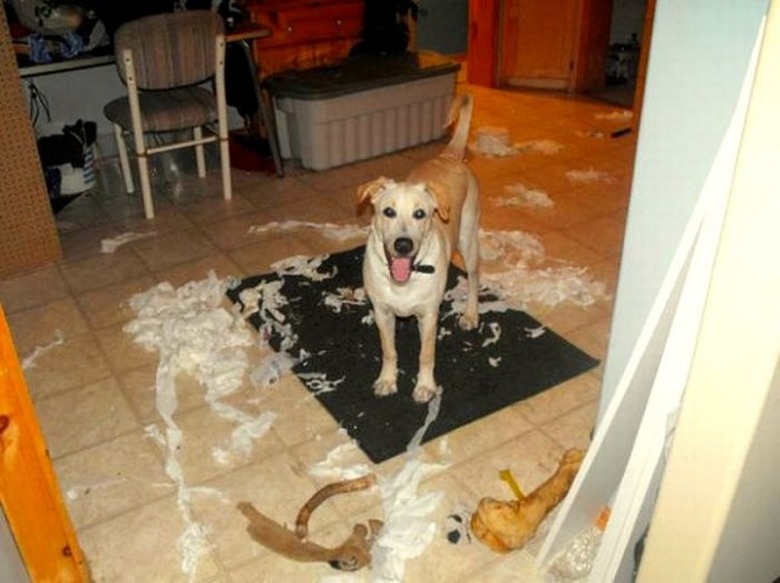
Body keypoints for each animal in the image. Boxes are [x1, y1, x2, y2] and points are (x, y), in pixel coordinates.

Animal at [356, 94, 478, 406]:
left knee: (475, 280)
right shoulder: (383, 313)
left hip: (469, 241)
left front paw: (425, 386)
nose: (403, 245)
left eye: (420, 214)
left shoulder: (429, 315)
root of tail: (450, 155)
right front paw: (387, 380)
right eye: (388, 211)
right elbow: (389, 350)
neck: (404, 281)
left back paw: (471, 315)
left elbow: (426, 355)